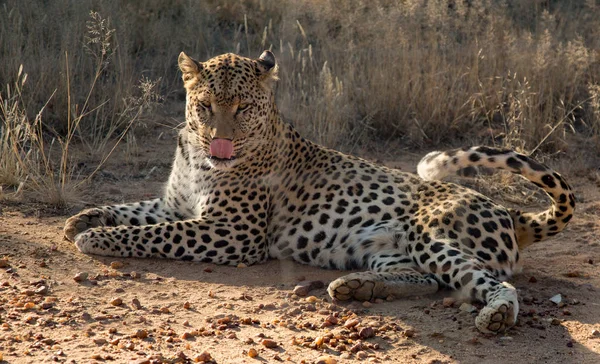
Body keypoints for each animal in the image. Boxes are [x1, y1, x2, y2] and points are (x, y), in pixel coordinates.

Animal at [63, 49, 576, 334]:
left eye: (242, 107)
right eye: (204, 106)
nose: (218, 143)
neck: (196, 156)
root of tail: (512, 215)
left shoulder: (232, 232)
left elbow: (152, 235)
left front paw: (97, 238)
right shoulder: (175, 204)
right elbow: (135, 210)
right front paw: (82, 219)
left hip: (433, 236)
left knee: (490, 282)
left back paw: (497, 317)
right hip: (383, 246)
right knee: (429, 279)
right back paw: (358, 287)